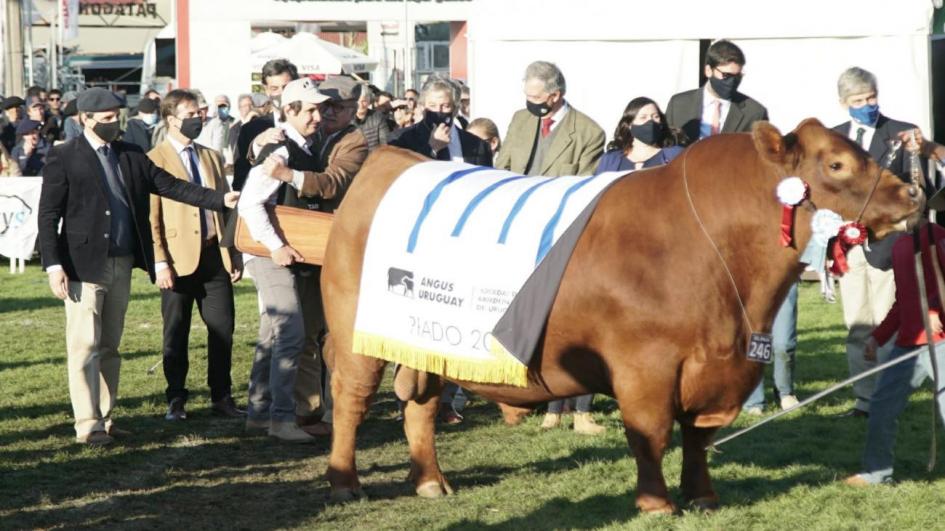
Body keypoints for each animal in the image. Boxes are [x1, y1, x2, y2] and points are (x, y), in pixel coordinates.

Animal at [318, 119, 920, 516]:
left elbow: (698, 437)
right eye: (837, 164)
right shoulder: (644, 364)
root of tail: (395, 160)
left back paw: (429, 482)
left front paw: (702, 496)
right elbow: (649, 432)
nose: (913, 192)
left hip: (424, 342)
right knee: (350, 398)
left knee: (420, 405)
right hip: (354, 335)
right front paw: (655, 503)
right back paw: (345, 482)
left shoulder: (720, 365)